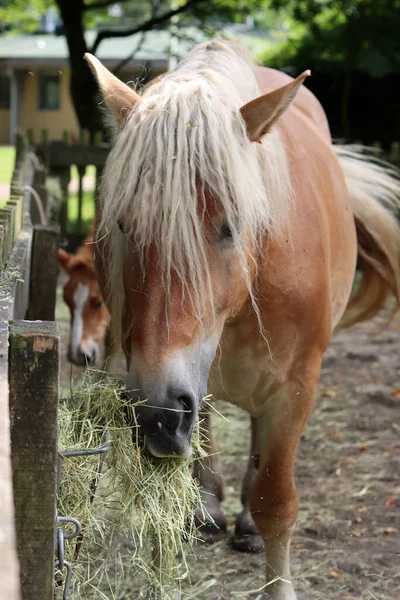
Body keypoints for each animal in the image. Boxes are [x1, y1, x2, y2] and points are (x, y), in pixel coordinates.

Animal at [85, 39, 400, 596]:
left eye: (230, 226)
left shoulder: (294, 389)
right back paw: (211, 507)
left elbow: (276, 501)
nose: (158, 413)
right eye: (122, 224)